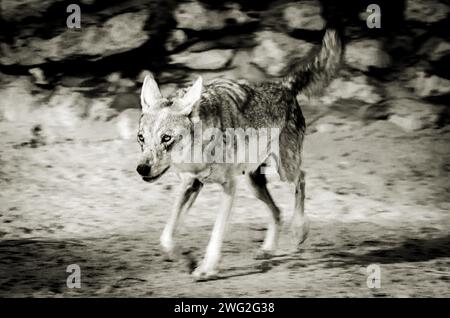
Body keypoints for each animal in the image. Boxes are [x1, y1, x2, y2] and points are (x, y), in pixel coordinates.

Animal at [136, 28, 342, 280]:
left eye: (166, 138)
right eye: (141, 138)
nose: (142, 169)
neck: (199, 149)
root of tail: (284, 85)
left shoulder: (229, 187)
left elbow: (216, 233)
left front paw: (207, 267)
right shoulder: (191, 184)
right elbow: (166, 236)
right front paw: (187, 260)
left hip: (285, 170)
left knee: (302, 178)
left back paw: (299, 229)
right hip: (253, 183)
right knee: (277, 211)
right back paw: (267, 249)